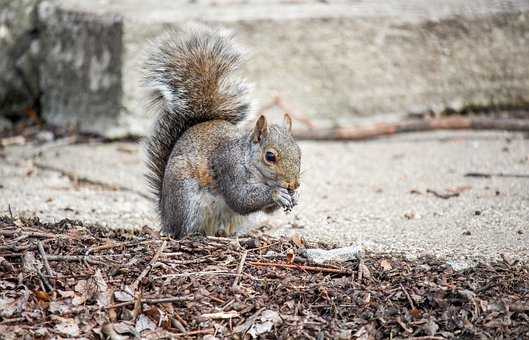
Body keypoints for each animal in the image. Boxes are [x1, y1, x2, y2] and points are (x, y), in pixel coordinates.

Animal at [142, 26, 302, 238]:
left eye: (299, 153)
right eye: (270, 156)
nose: (294, 184)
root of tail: (165, 215)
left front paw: (294, 196)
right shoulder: (228, 165)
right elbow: (240, 198)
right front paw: (277, 193)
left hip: (233, 219)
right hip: (184, 197)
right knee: (182, 229)